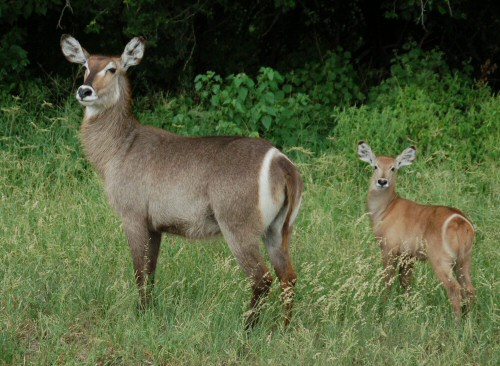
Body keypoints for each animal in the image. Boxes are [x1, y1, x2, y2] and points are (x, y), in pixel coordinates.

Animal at [58, 34, 300, 328]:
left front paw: (140, 316)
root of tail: (281, 163)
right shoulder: (155, 226)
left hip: (238, 228)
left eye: (112, 69)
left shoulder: (132, 216)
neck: (120, 147)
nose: (85, 91)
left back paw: (247, 329)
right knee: (288, 277)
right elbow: (151, 272)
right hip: (278, 229)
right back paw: (284, 329)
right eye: (85, 66)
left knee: (262, 278)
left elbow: (139, 271)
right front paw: (150, 311)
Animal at [358, 142, 474, 316]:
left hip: (442, 259)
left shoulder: (389, 248)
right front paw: (408, 308)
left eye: (393, 168)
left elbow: (388, 281)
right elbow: (405, 281)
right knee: (470, 288)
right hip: (464, 260)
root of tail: (460, 222)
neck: (385, 210)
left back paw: (457, 321)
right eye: (375, 165)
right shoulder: (408, 255)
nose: (382, 181)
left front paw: (382, 309)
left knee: (454, 289)